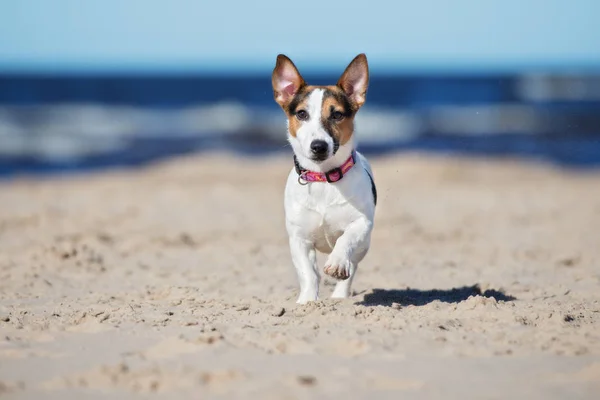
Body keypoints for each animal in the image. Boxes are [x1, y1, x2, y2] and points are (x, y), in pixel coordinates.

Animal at [270, 54, 376, 304]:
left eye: (337, 114)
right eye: (301, 114)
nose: (319, 146)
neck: (324, 177)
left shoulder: (362, 223)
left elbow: (346, 240)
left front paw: (337, 262)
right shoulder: (298, 239)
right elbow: (308, 273)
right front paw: (307, 301)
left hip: (364, 246)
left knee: (352, 267)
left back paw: (340, 295)